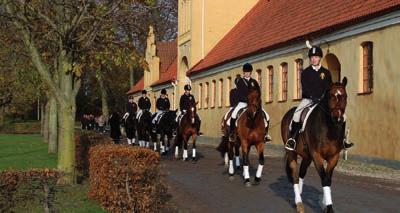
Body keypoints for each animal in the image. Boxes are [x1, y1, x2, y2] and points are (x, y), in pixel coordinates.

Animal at [280, 77, 348, 212]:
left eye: (344, 96)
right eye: (331, 96)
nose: (338, 118)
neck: (329, 128)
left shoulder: (334, 157)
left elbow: (328, 179)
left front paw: (325, 204)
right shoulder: (317, 156)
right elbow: (324, 179)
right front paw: (329, 207)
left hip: (307, 157)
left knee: (301, 173)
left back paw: (299, 197)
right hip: (292, 153)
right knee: (295, 175)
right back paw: (299, 203)